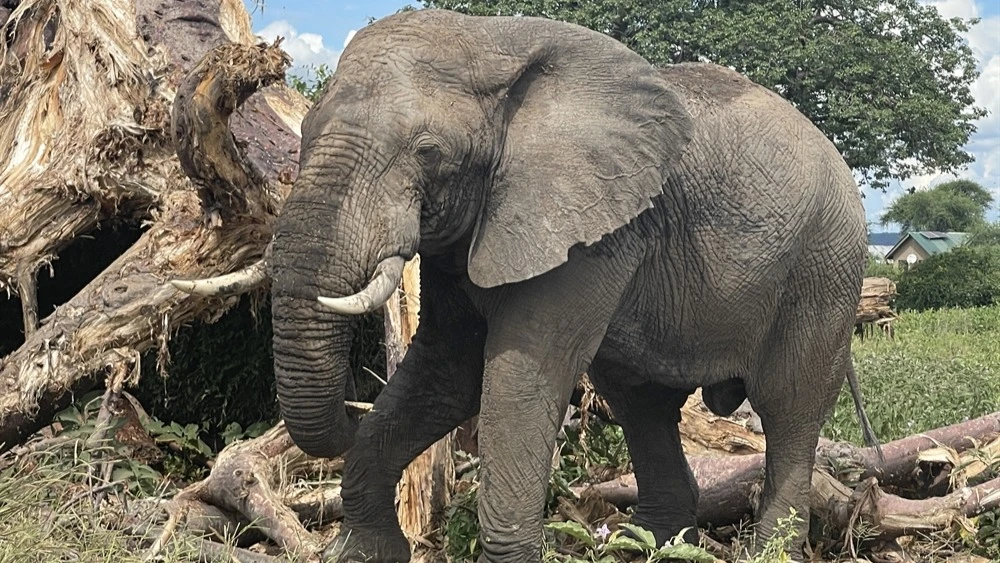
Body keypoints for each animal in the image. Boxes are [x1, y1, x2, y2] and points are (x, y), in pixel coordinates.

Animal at [176, 8, 880, 563]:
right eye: (306, 127)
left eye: (429, 152)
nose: (352, 406)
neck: (493, 43)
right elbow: (448, 370)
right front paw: (365, 554)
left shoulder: (591, 231)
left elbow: (519, 377)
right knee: (642, 403)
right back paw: (650, 545)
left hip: (824, 267)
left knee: (788, 410)